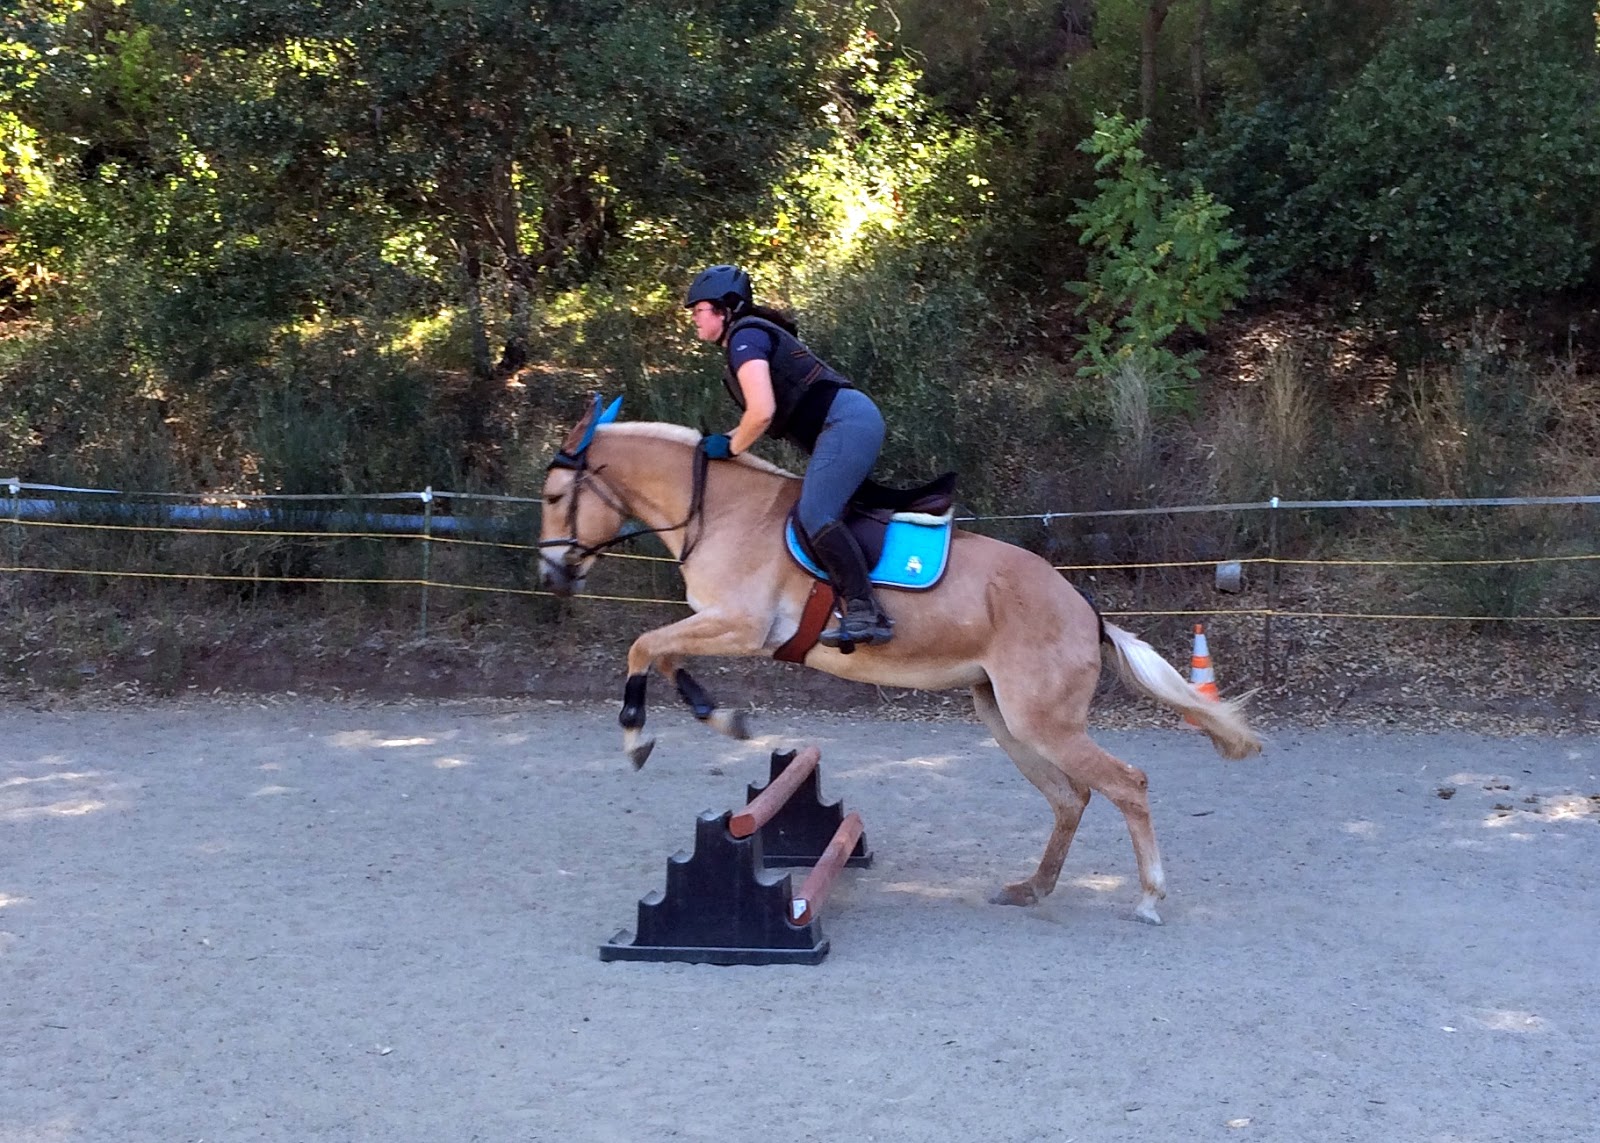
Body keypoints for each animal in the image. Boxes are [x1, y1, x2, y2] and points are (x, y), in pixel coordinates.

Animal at [537, 401, 1262, 924]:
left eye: (549, 497)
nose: (550, 574)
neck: (718, 511)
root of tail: (1086, 607)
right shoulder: (721, 626)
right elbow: (660, 653)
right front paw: (718, 715)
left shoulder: (741, 625)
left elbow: (643, 645)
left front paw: (637, 734)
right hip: (1007, 718)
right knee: (1071, 796)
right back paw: (1031, 888)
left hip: (1041, 721)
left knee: (1125, 784)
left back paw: (1146, 897)